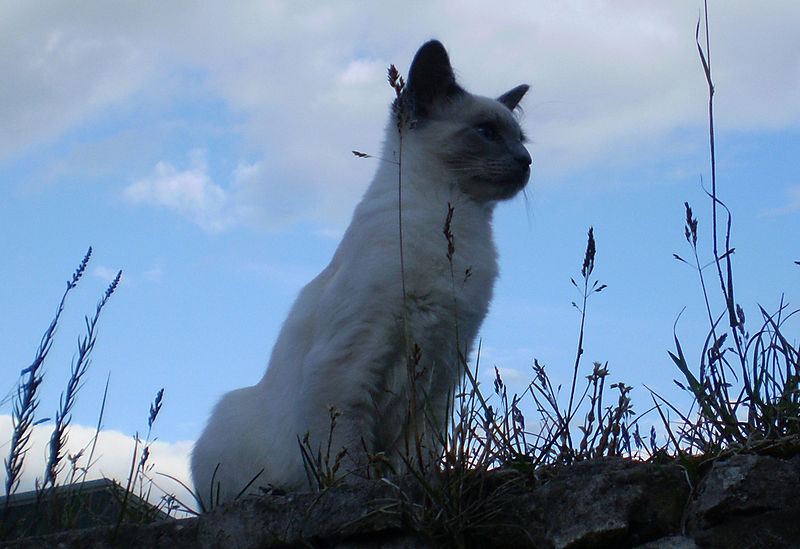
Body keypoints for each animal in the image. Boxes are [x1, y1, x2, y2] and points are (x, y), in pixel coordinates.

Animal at [191, 39, 532, 510]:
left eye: (521, 138)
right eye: (486, 132)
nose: (527, 160)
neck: (460, 222)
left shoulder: (441, 371)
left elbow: (418, 458)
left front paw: (417, 484)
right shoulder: (351, 362)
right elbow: (349, 459)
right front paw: (365, 492)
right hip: (232, 418)